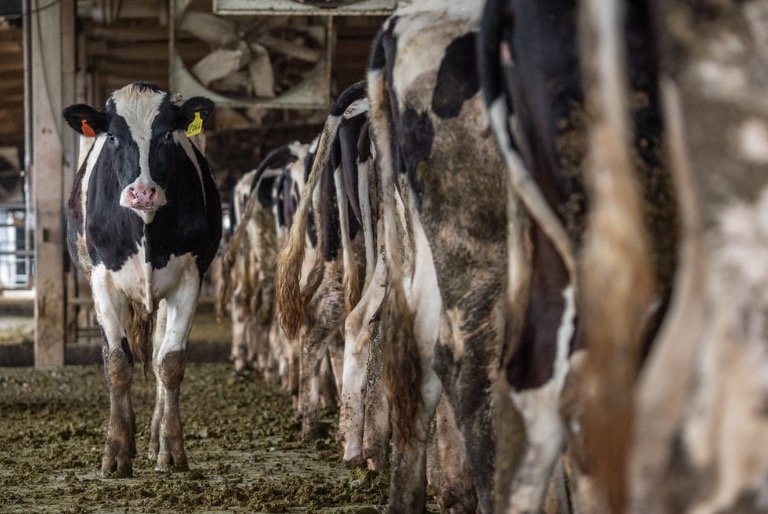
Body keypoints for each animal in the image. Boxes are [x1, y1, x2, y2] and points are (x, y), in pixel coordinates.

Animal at [62, 81, 220, 476]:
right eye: (114, 137)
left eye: (166, 134)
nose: (143, 192)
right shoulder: (103, 279)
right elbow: (117, 362)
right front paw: (116, 452)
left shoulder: (190, 278)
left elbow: (171, 362)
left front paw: (172, 449)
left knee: (160, 348)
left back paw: (152, 438)